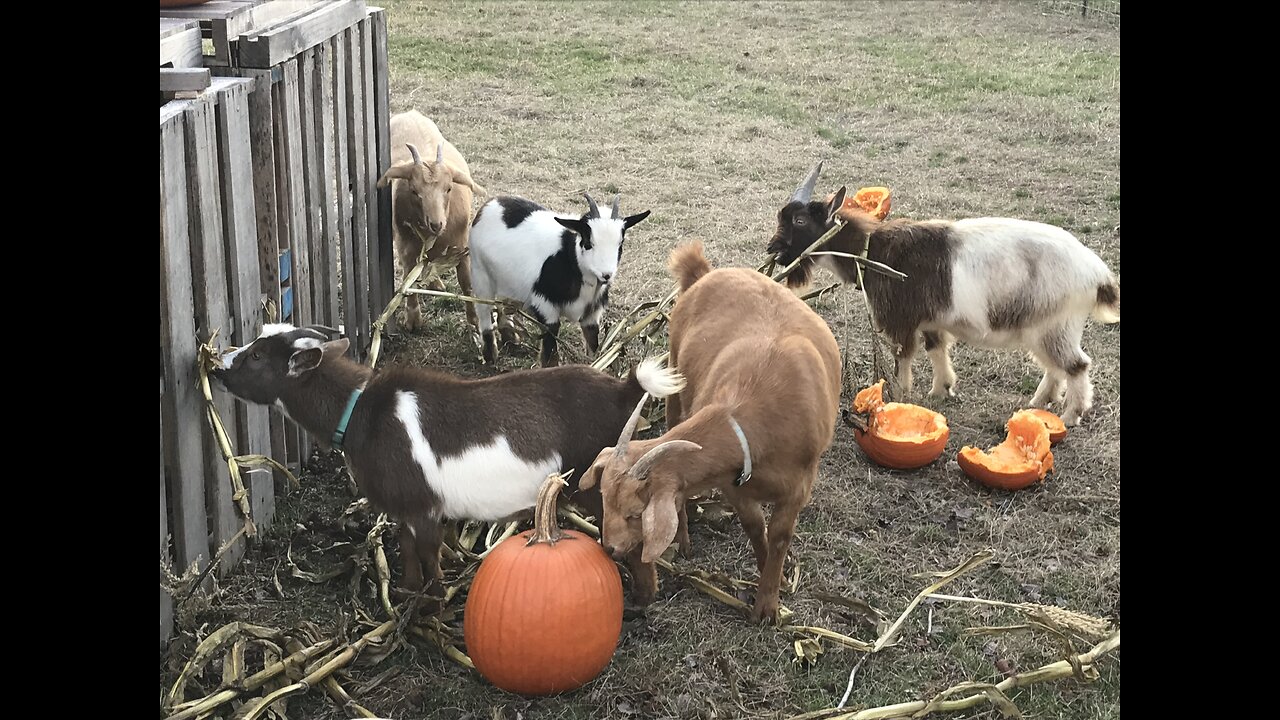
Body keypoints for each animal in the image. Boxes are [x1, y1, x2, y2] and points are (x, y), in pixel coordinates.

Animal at [213, 324, 686, 594]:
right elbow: (405, 548)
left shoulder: (425, 508)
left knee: (635, 539)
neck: (363, 412)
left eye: (257, 354)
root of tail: (624, 388)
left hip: (599, 486)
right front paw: (407, 592)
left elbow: (428, 554)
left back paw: (641, 603)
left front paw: (433, 607)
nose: (216, 365)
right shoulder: (402, 507)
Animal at [376, 110, 486, 333]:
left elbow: (466, 283)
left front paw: (474, 321)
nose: (436, 224)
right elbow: (408, 280)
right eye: (414, 191)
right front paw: (413, 320)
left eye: (449, 188)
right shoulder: (407, 248)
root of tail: (410, 113)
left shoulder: (461, 247)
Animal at [578, 242, 839, 622]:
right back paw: (683, 541)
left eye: (635, 514)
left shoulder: (799, 485)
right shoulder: (734, 485)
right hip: (674, 374)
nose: (609, 548)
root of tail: (704, 272)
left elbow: (778, 535)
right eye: (602, 496)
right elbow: (754, 527)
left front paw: (769, 602)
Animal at [762, 159, 1116, 422]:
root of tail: (1097, 273)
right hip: (1045, 328)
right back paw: (1038, 403)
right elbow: (936, 347)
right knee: (1055, 367)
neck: (871, 249)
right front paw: (940, 390)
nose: (774, 252)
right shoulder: (931, 320)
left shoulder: (901, 319)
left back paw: (1070, 415)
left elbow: (903, 357)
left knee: (1076, 365)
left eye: (800, 220)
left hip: (1055, 325)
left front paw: (900, 396)